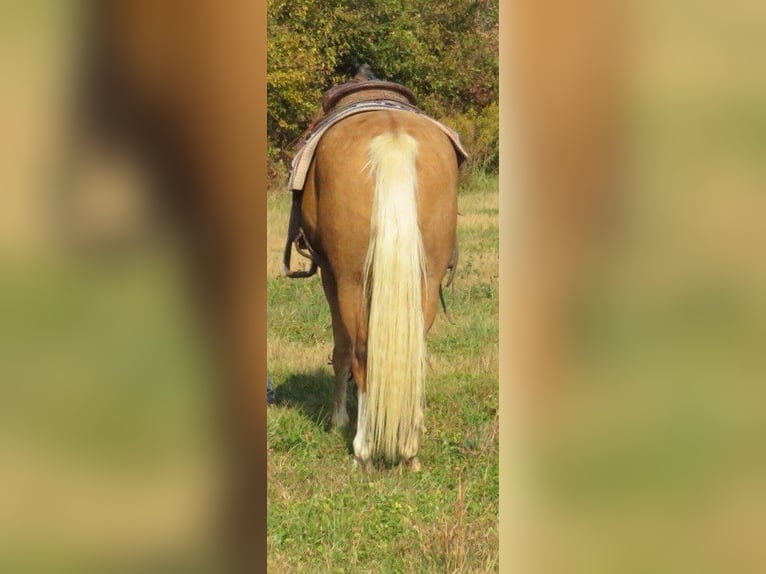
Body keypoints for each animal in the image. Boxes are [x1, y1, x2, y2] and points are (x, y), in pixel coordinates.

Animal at [296, 109, 460, 472]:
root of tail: (391, 137)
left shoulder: (329, 275)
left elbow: (341, 350)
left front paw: (339, 420)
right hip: (425, 280)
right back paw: (409, 447)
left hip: (351, 281)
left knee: (361, 354)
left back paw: (364, 449)